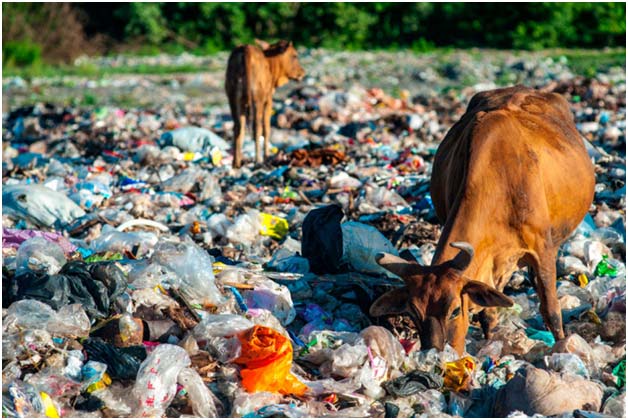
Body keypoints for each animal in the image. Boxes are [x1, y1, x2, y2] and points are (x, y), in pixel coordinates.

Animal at [224, 39, 306, 167]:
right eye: (294, 55)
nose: (302, 72)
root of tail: (245, 49)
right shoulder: (268, 99)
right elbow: (266, 128)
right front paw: (267, 155)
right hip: (257, 98)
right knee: (256, 127)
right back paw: (258, 159)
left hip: (232, 96)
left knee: (238, 127)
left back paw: (236, 162)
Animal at [370, 87, 596, 356]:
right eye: (413, 313)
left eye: (455, 310)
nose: (436, 353)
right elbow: (488, 316)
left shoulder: (543, 250)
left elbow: (551, 310)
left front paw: (562, 346)